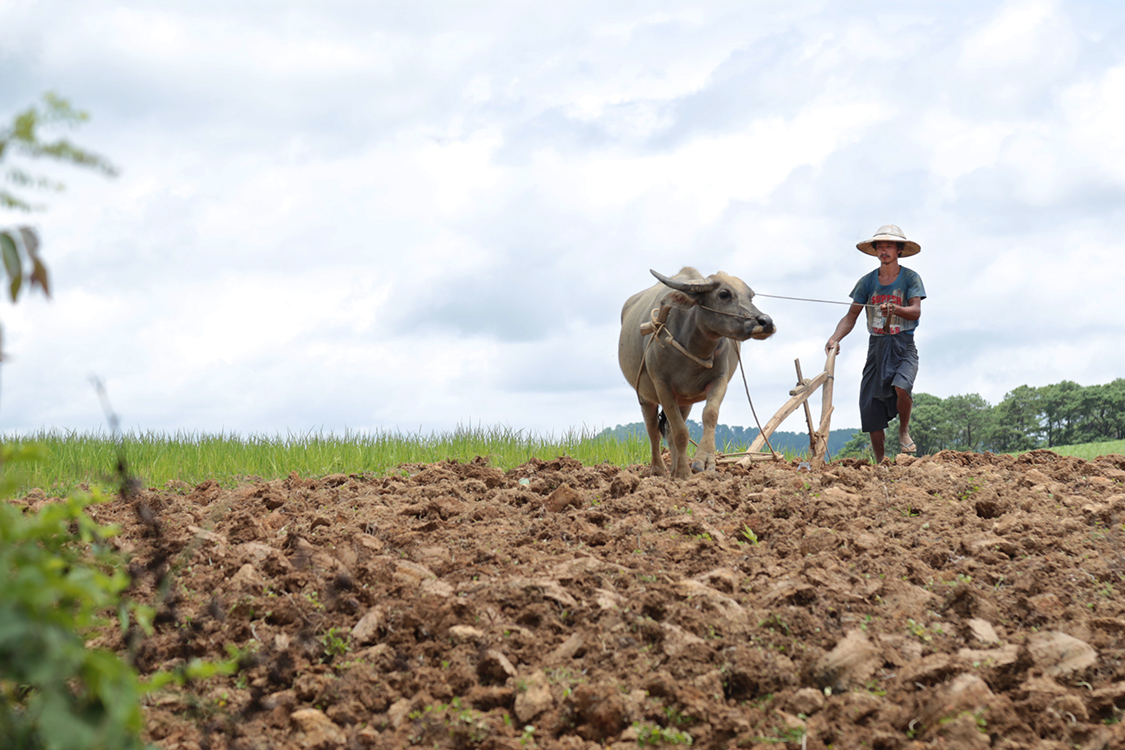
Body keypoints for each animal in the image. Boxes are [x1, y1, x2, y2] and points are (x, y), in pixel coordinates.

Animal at [621, 268, 778, 481]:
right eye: (724, 294)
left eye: (751, 296)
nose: (765, 322)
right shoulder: (662, 387)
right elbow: (681, 432)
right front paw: (684, 473)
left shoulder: (719, 380)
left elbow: (709, 414)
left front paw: (703, 461)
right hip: (645, 396)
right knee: (653, 430)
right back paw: (658, 469)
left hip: (684, 401)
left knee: (668, 430)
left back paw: (673, 469)